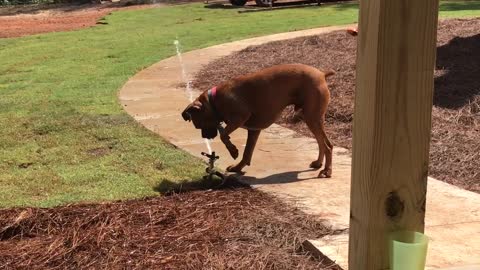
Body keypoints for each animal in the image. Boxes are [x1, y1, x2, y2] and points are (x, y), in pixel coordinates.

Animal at [182, 63, 336, 177]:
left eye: (198, 125)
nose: (206, 137)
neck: (214, 101)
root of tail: (321, 74)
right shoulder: (253, 130)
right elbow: (247, 153)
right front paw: (238, 167)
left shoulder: (239, 117)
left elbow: (224, 135)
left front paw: (233, 151)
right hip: (312, 117)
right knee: (321, 142)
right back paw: (318, 163)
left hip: (312, 117)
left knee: (327, 145)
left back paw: (327, 171)